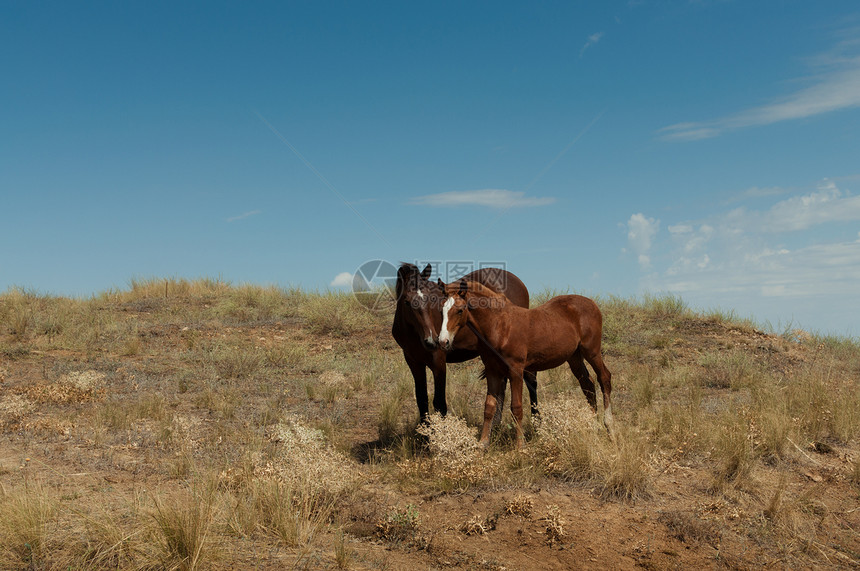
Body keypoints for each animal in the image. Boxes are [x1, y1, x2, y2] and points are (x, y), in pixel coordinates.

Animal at [392, 266, 536, 422]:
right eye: (406, 302)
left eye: (430, 299)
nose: (431, 340)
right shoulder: (414, 362)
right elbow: (422, 399)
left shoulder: (438, 360)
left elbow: (439, 403)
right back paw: (496, 424)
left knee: (531, 380)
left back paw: (536, 421)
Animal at [440, 280, 616, 450]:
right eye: (442, 310)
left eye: (460, 310)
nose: (443, 341)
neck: (500, 326)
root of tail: (592, 303)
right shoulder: (492, 371)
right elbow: (489, 407)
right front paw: (482, 444)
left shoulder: (516, 370)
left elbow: (516, 407)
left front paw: (521, 446)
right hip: (574, 357)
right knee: (588, 385)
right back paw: (593, 425)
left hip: (592, 351)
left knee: (604, 378)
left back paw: (609, 428)